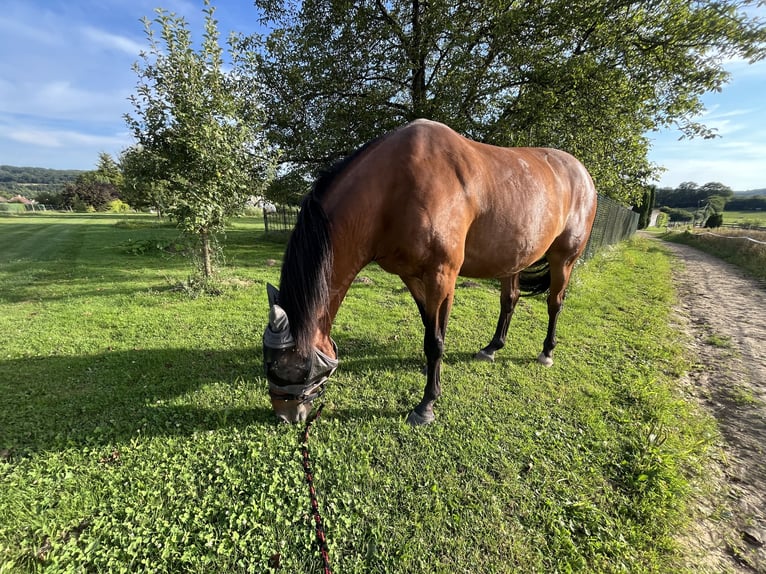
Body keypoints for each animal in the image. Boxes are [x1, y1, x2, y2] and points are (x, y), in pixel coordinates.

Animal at [264, 120, 600, 428]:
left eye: (290, 368)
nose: (286, 416)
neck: (394, 188)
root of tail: (582, 173)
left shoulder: (442, 275)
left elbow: (436, 339)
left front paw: (426, 404)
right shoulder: (413, 277)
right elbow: (430, 328)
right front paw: (431, 373)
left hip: (564, 258)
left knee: (555, 302)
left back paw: (546, 352)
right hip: (513, 258)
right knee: (510, 299)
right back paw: (492, 347)